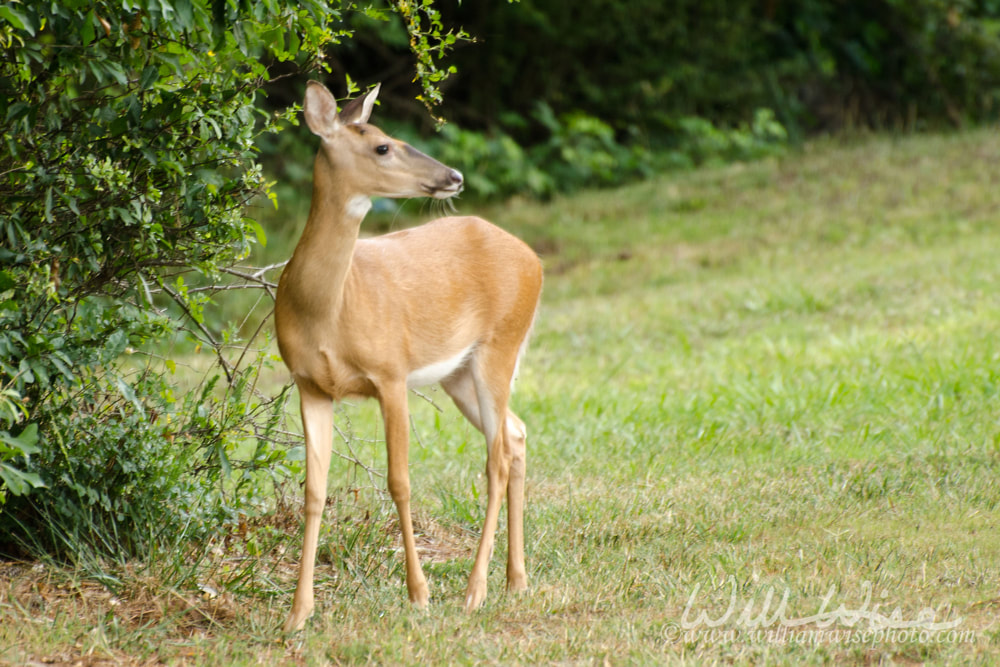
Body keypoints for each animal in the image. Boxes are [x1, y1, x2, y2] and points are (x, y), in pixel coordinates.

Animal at [274, 81, 544, 636]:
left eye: (393, 137)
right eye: (382, 146)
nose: (453, 176)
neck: (327, 312)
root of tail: (536, 260)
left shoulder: (390, 373)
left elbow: (399, 482)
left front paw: (418, 595)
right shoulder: (310, 384)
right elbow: (315, 492)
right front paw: (297, 614)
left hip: (500, 345)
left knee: (496, 457)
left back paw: (474, 592)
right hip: (458, 373)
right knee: (516, 433)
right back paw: (515, 580)